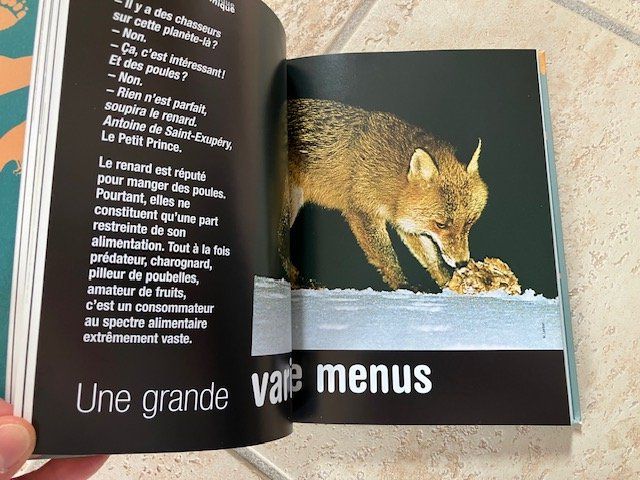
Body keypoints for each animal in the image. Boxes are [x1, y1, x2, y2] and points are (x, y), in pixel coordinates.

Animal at [282, 98, 489, 290]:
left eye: (469, 222)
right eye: (441, 224)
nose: (462, 263)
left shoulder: (408, 223)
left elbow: (433, 259)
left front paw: (448, 283)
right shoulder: (362, 212)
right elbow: (387, 256)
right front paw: (403, 285)